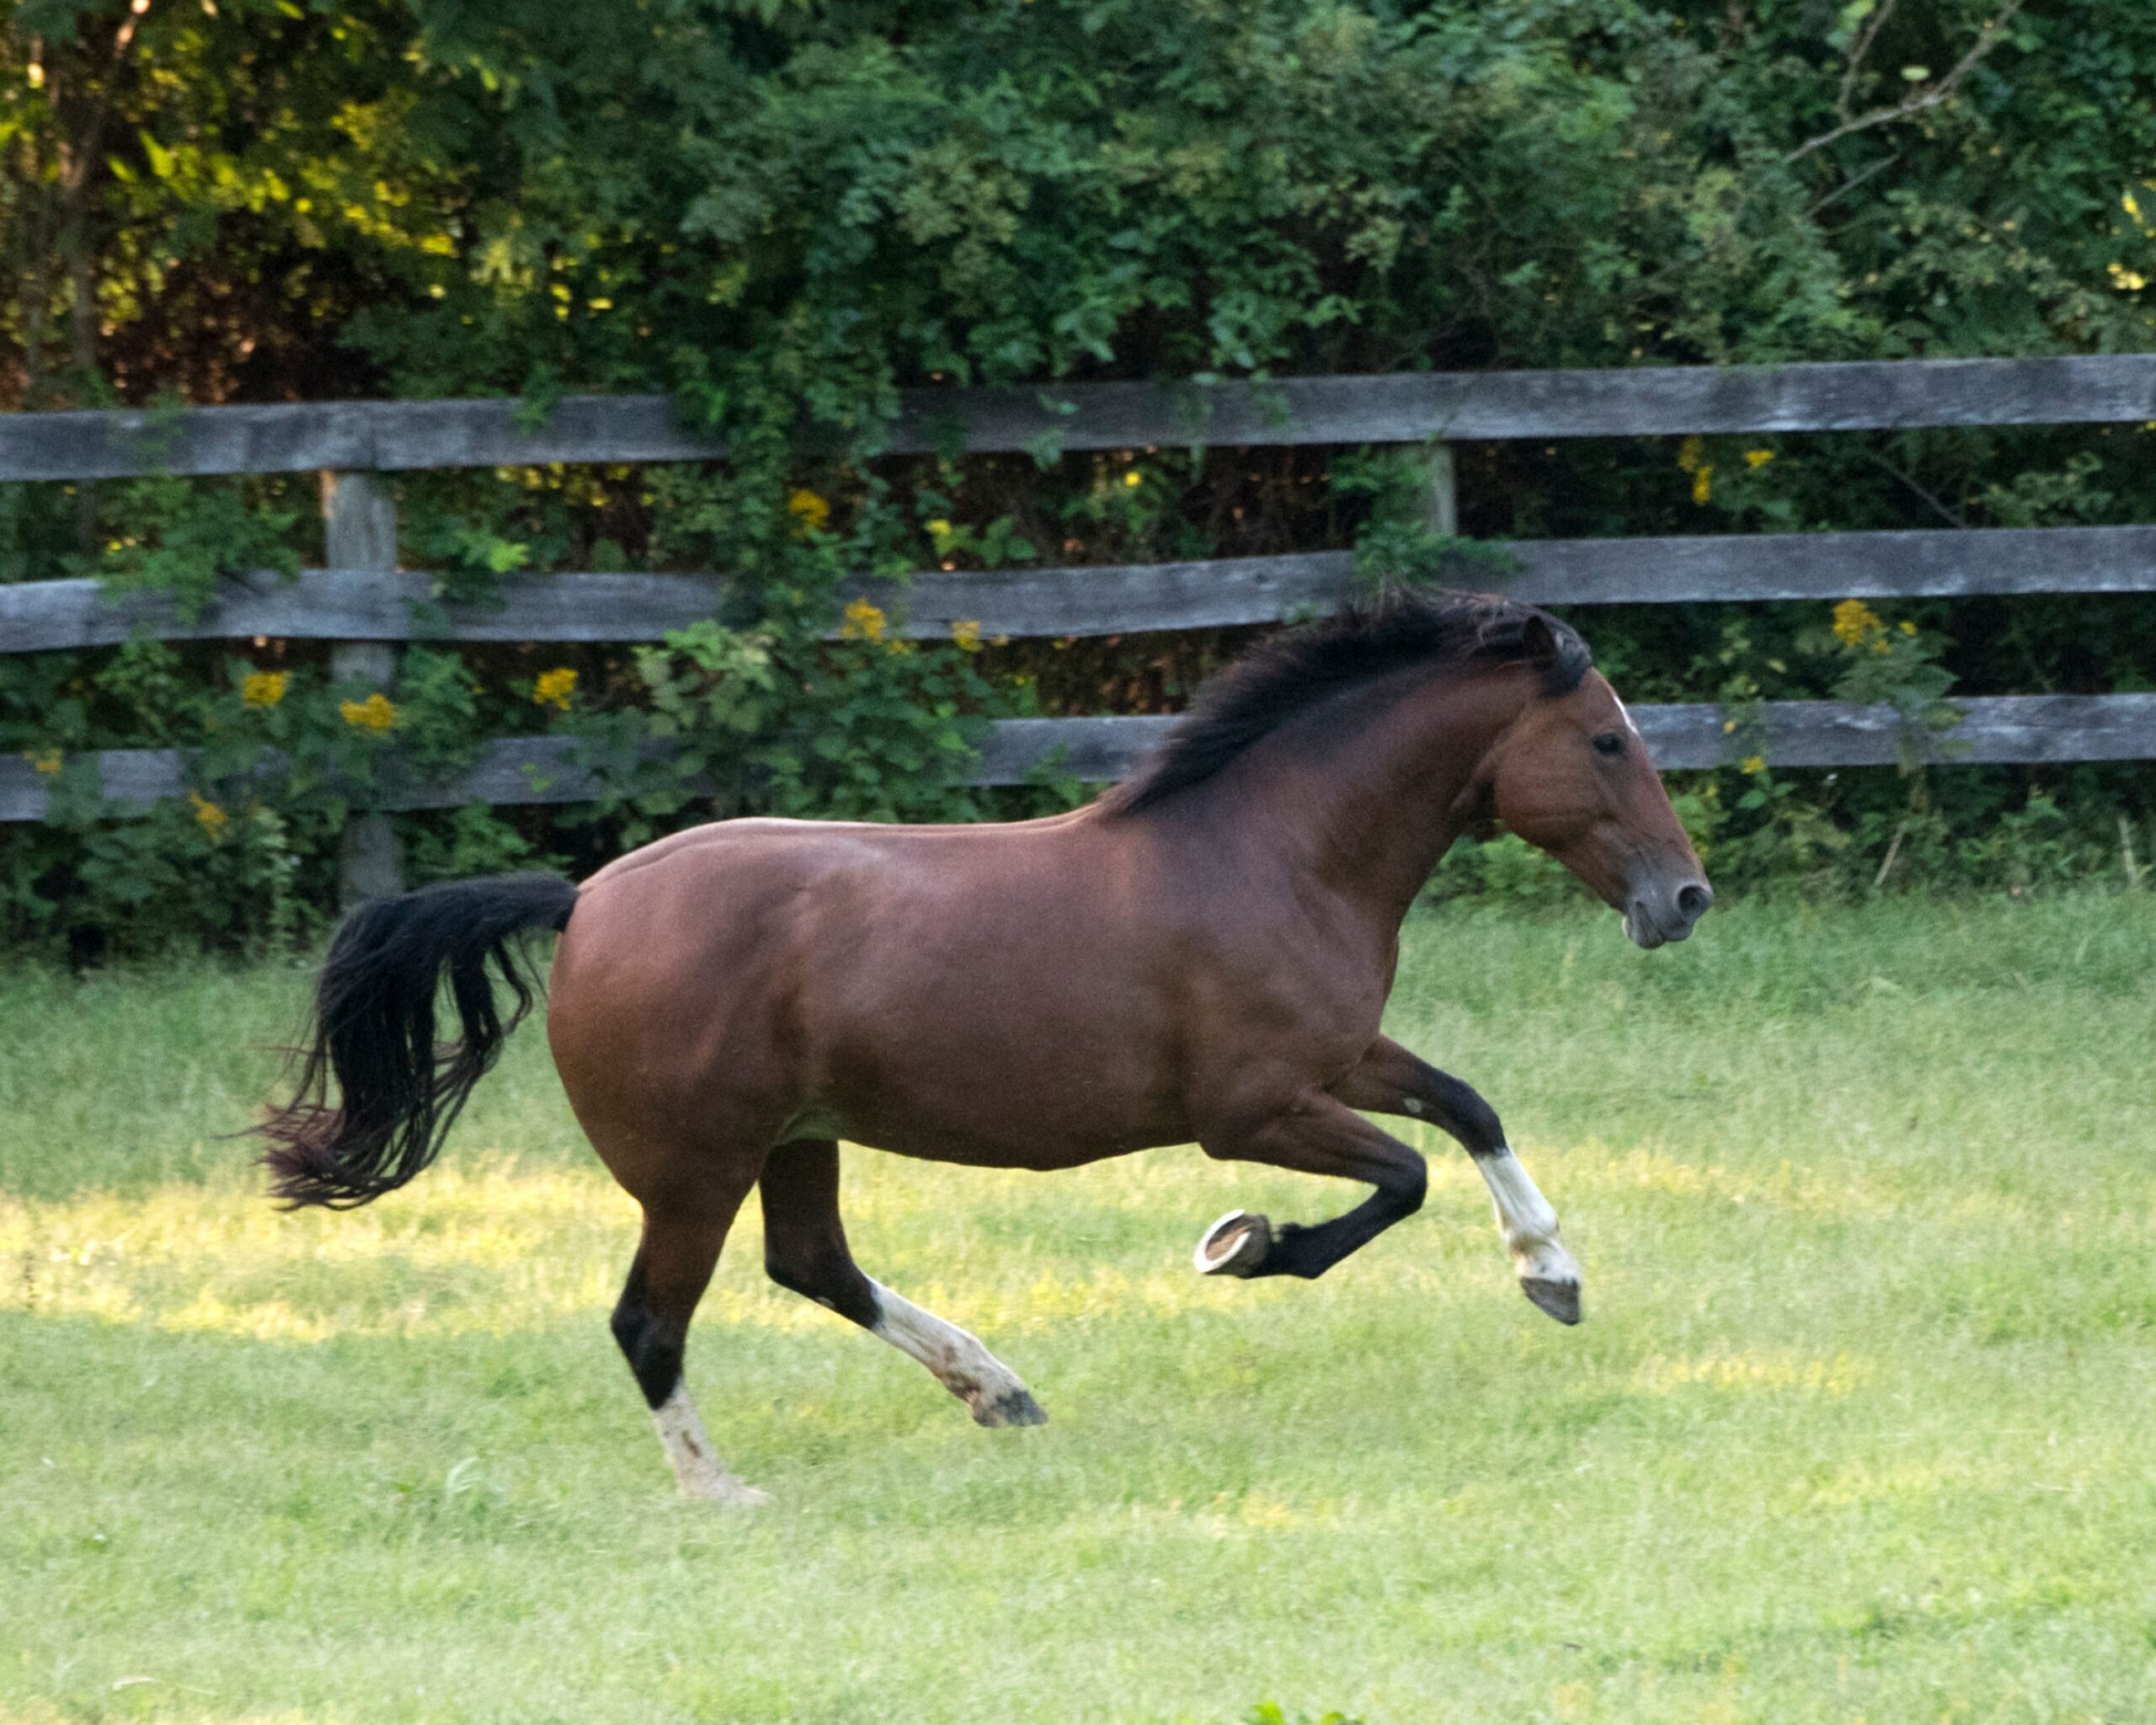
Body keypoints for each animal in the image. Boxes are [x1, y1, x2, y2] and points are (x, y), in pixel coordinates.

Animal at [260, 590, 1707, 1492]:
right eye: (1605, 740)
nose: (1685, 899)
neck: (1274, 854)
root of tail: (582, 902)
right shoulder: (1250, 1111)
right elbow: (1400, 1178)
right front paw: (1248, 1248)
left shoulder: (1338, 1059)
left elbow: (1468, 1108)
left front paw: (1551, 1272)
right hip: (694, 1170)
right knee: (650, 1324)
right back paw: (724, 1492)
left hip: (795, 1141)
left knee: (813, 1268)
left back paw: (998, 1392)